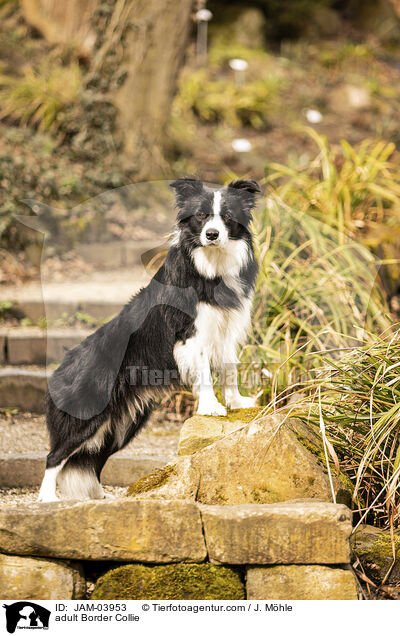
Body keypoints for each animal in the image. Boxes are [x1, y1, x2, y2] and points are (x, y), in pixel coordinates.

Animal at [39, 176, 260, 500]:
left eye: (228, 216)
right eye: (201, 215)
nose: (212, 234)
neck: (210, 263)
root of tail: (59, 368)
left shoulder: (226, 330)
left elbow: (229, 368)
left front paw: (236, 402)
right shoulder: (191, 335)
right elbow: (205, 373)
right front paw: (211, 407)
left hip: (122, 426)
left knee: (86, 461)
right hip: (87, 414)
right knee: (55, 457)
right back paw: (47, 497)